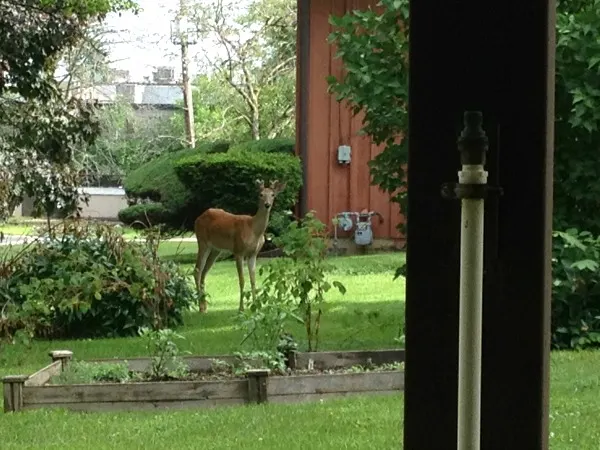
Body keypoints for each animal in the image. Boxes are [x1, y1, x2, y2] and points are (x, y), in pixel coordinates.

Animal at [192, 178, 286, 312]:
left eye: (273, 195)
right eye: (260, 194)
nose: (267, 205)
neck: (253, 229)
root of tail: (198, 218)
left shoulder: (253, 254)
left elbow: (253, 280)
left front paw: (255, 306)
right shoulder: (238, 251)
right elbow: (242, 280)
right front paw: (241, 308)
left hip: (216, 249)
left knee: (204, 272)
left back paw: (204, 306)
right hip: (202, 241)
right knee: (197, 271)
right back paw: (200, 307)